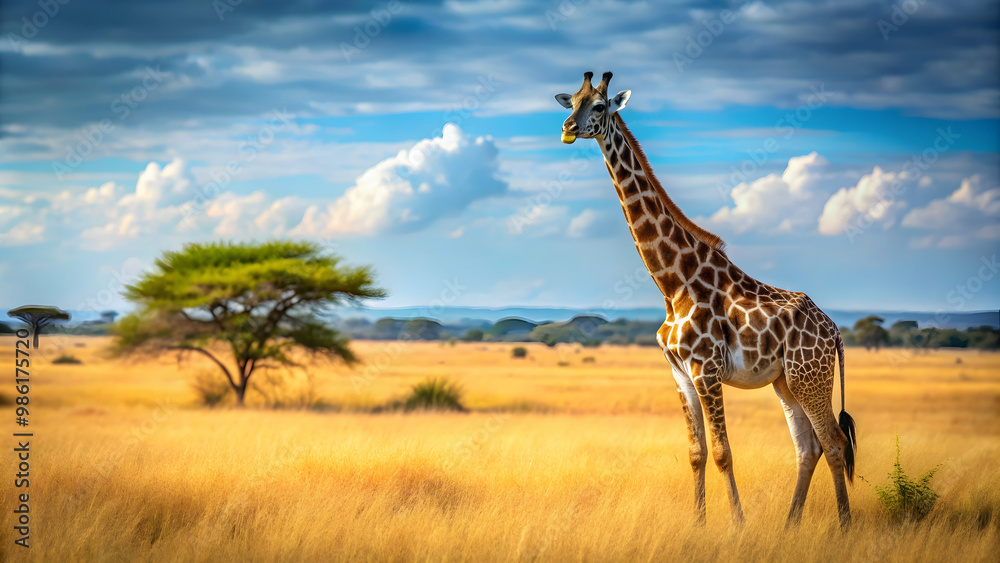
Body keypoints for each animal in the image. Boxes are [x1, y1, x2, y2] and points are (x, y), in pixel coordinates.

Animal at [555, 72, 857, 528]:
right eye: (572, 100)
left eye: (601, 106)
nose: (568, 128)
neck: (672, 284)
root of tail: (834, 330)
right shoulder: (679, 373)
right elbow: (697, 453)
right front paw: (697, 523)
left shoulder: (707, 370)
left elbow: (722, 453)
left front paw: (738, 524)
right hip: (787, 382)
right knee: (809, 447)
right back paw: (790, 524)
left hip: (811, 378)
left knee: (834, 443)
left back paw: (842, 527)